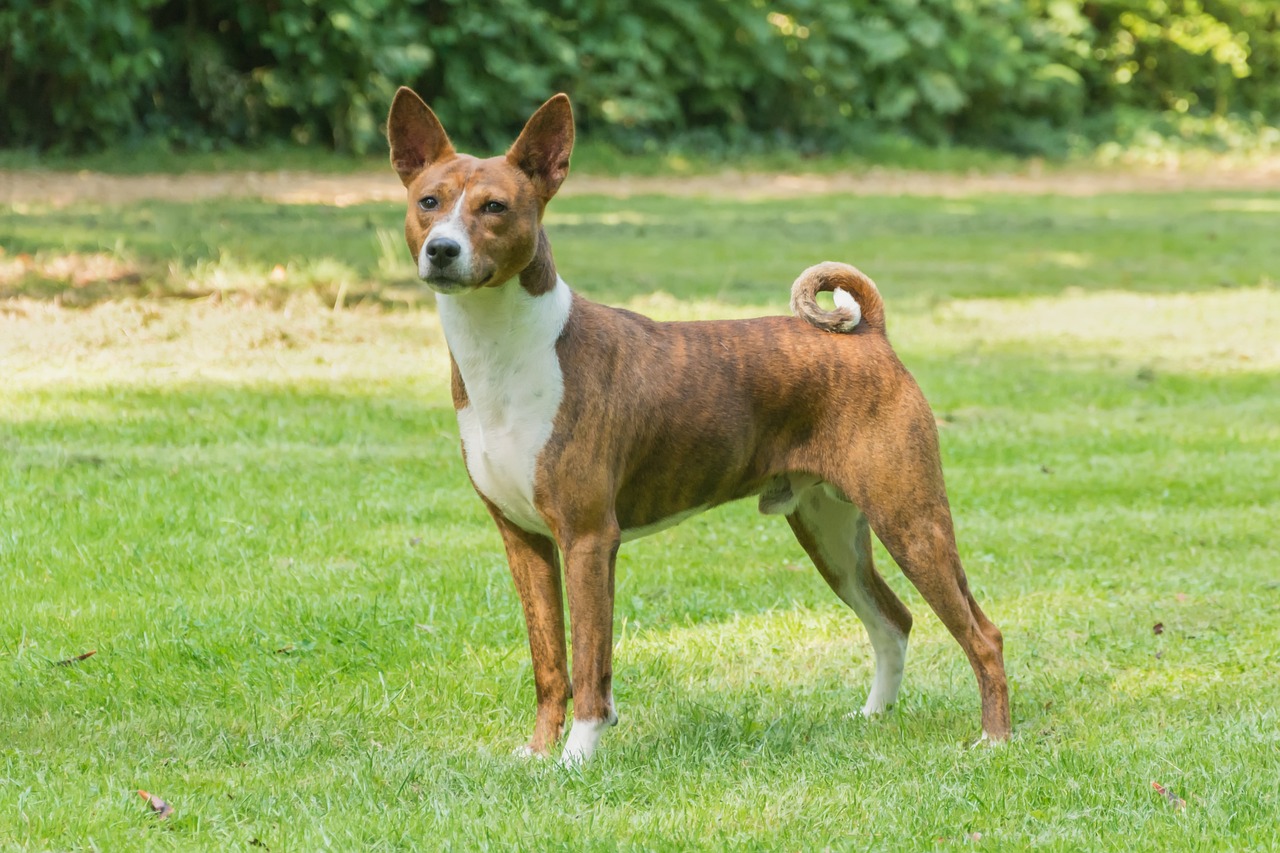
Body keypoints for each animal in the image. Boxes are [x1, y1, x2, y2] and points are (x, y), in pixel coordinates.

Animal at [384, 87, 1003, 763]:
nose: (442, 250)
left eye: (495, 207)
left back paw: (994, 740)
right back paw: (872, 718)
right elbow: (550, 664)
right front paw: (539, 753)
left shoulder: (588, 538)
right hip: (830, 530)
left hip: (910, 518)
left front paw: (577, 757)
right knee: (894, 619)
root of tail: (871, 335)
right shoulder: (524, 540)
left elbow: (589, 663)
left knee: (983, 634)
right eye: (429, 202)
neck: (508, 351)